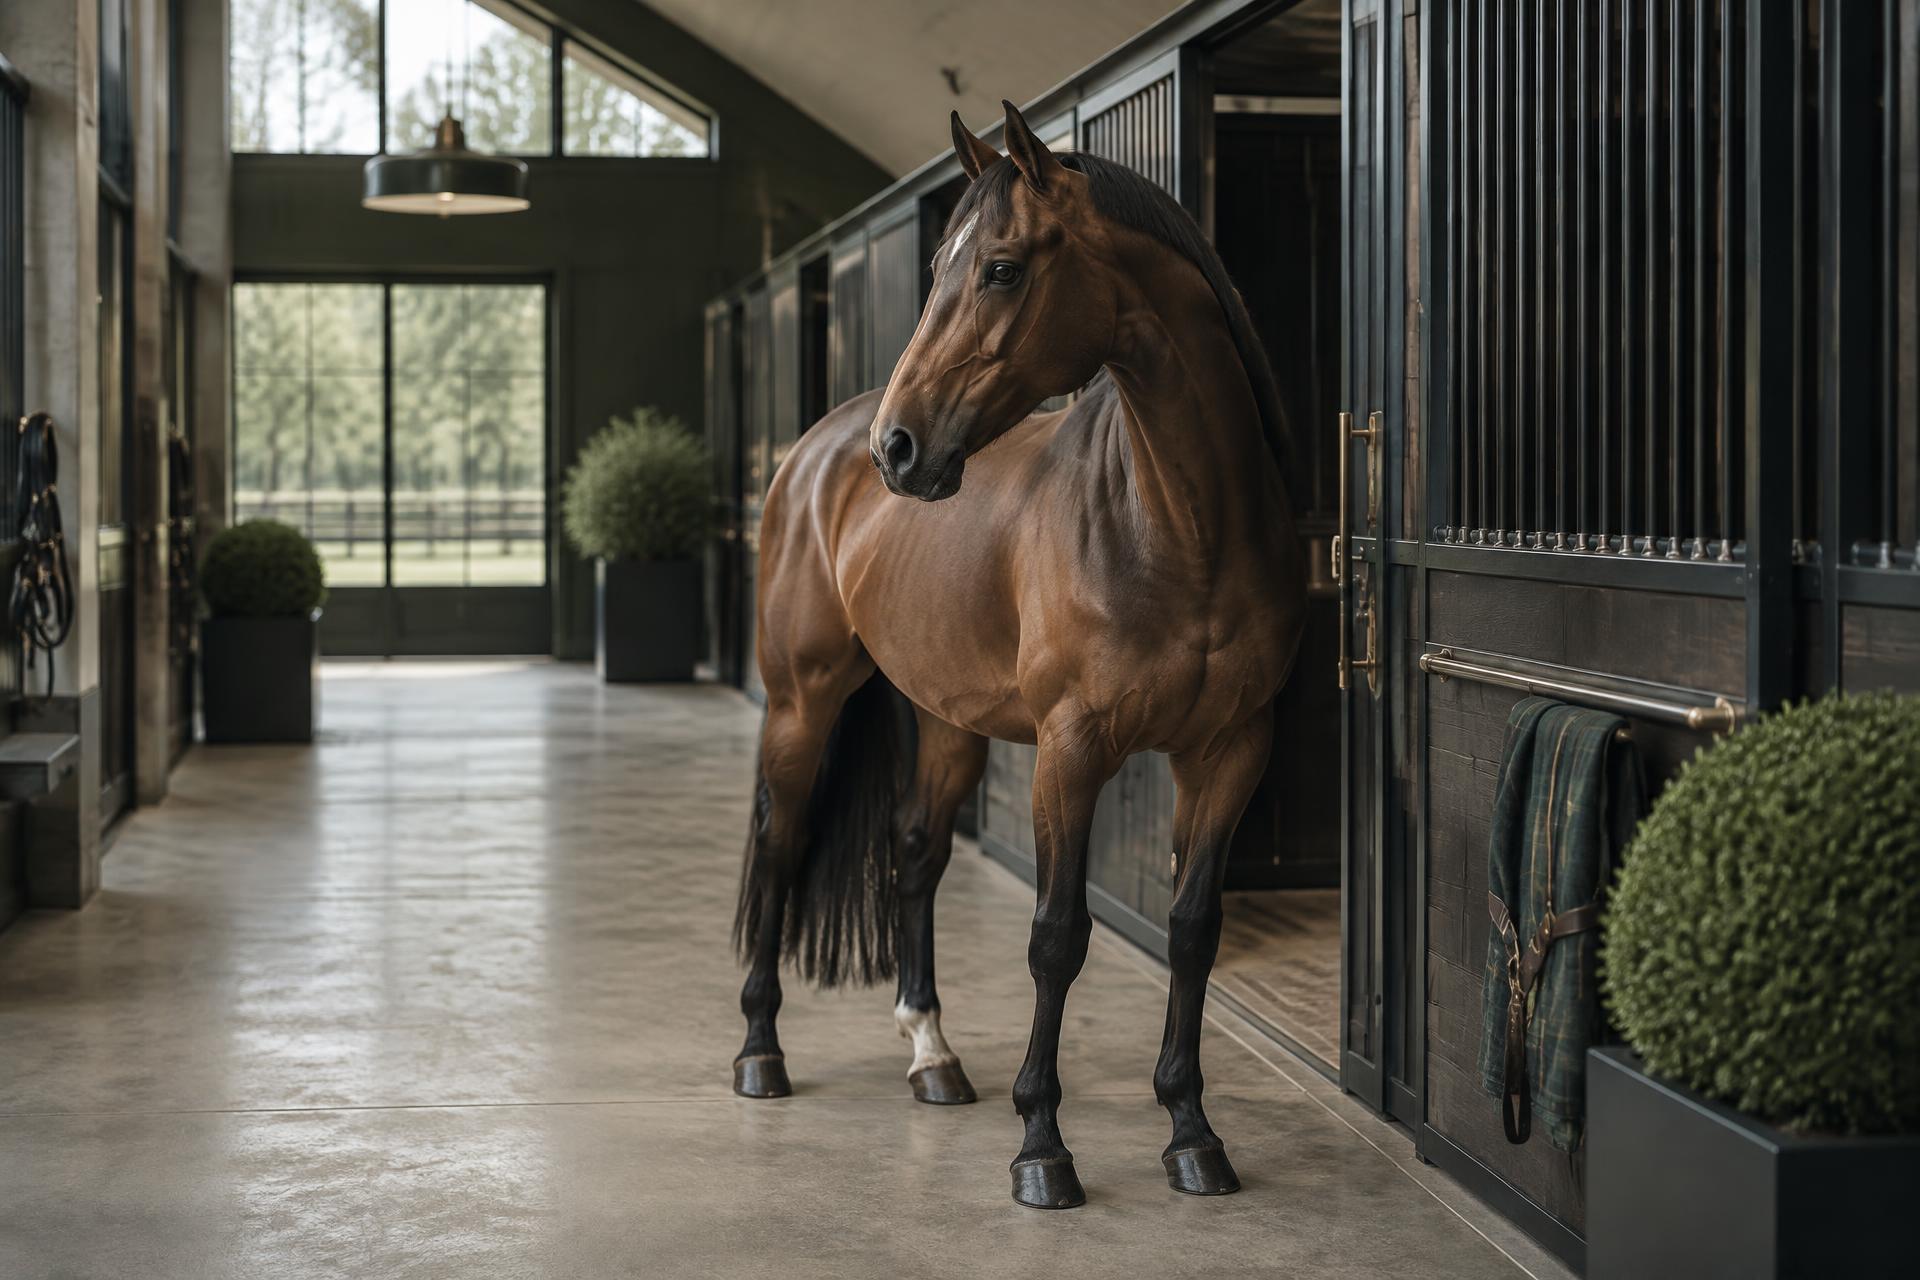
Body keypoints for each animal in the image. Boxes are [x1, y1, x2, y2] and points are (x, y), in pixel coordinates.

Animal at [731, 100, 1306, 1210]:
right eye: (936, 270)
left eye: (998, 268)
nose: (900, 448)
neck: (1178, 526)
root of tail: (815, 452)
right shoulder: (1070, 753)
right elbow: (1056, 936)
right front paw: (1043, 1146)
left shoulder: (1231, 754)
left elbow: (1193, 928)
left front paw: (1192, 1132)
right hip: (799, 703)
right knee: (782, 845)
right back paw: (760, 1051)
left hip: (946, 717)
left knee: (914, 851)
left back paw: (933, 1055)